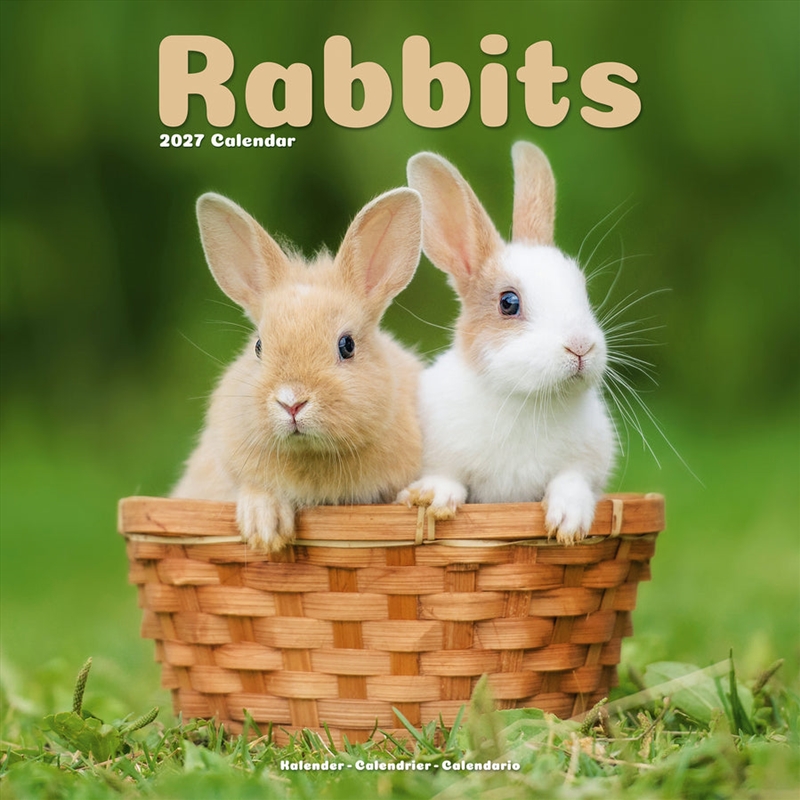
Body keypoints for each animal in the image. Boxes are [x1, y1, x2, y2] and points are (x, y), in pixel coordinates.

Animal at [397, 142, 615, 544]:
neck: (527, 399)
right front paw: (432, 498)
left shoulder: (586, 465)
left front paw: (568, 523)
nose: (580, 347)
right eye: (509, 302)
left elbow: (572, 481)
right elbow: (448, 478)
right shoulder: (440, 455)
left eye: (583, 290)